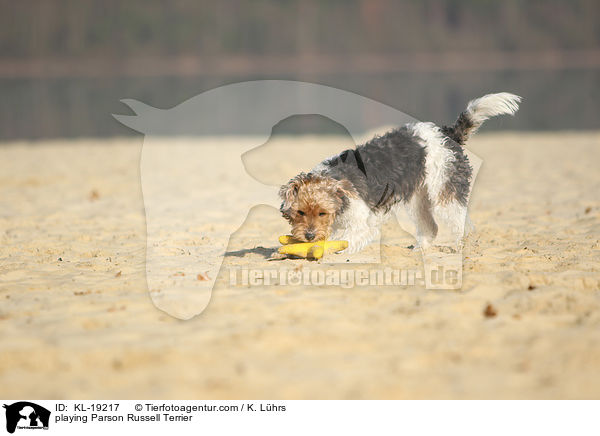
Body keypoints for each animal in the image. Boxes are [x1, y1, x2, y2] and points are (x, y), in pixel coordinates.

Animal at [280, 93, 520, 254]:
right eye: (300, 212)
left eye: (322, 213)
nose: (309, 236)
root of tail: (446, 133)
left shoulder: (362, 222)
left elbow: (344, 241)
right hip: (418, 199)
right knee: (431, 227)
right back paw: (419, 250)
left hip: (445, 192)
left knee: (460, 223)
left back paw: (459, 248)